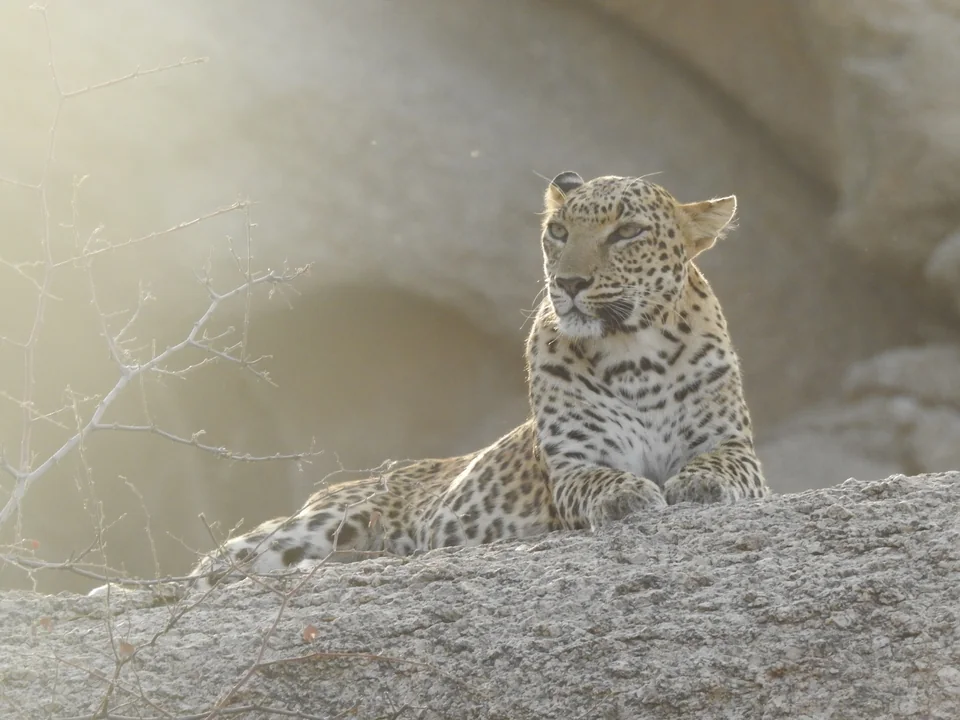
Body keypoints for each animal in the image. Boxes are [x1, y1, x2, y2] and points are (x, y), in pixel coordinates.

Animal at [92, 171, 769, 595]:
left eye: (626, 232)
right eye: (558, 233)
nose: (570, 284)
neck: (634, 353)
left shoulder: (736, 448)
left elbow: (719, 467)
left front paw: (696, 487)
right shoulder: (573, 466)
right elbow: (602, 479)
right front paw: (627, 496)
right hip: (312, 525)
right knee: (211, 570)